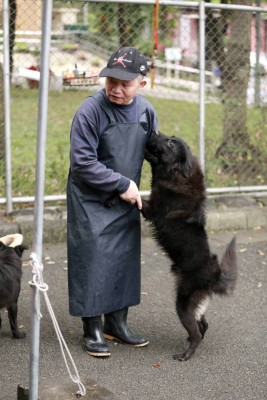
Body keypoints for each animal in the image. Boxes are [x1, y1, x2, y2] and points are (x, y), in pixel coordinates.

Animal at [142, 131, 239, 362]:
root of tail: (215, 275)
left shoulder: (151, 210)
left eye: (170, 143)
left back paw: (186, 354)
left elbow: (136, 200)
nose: (155, 131)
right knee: (203, 324)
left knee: (196, 330)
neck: (179, 175)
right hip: (195, 303)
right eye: (170, 137)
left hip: (183, 303)